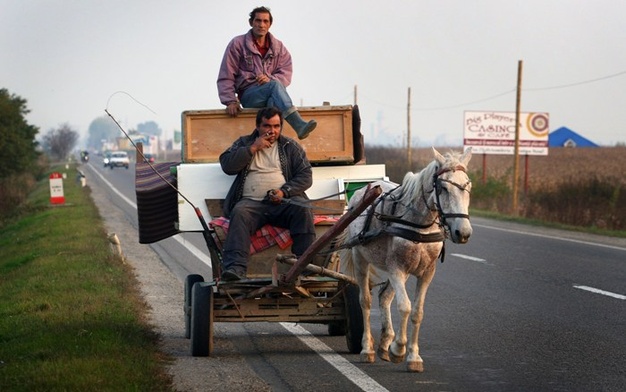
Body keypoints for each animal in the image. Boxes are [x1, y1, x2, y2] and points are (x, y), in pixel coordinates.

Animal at [338, 146, 470, 370]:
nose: (463, 233)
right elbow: (405, 307)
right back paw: (367, 348)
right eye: (443, 188)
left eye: (468, 186)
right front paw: (398, 349)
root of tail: (363, 190)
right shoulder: (396, 268)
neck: (419, 223)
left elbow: (417, 312)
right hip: (361, 259)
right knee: (365, 301)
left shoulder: (426, 273)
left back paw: (384, 342)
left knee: (384, 297)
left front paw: (413, 356)